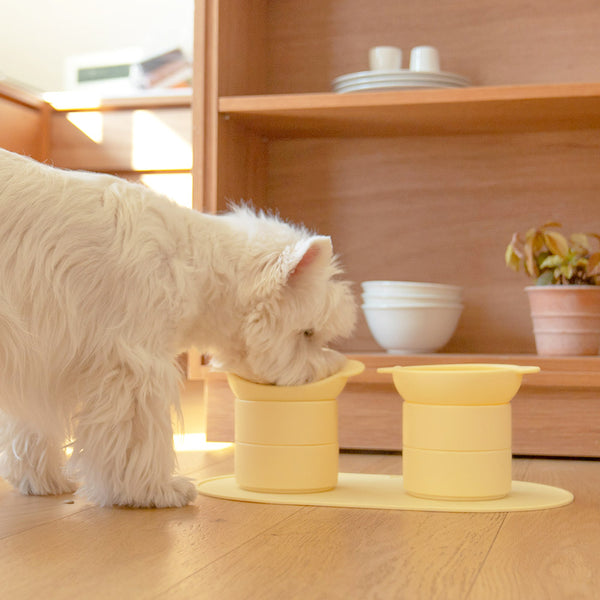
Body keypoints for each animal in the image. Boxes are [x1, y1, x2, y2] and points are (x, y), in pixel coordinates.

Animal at [0, 149, 356, 506]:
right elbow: (138, 434)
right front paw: (153, 491)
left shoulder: (39, 360)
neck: (192, 259)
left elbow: (31, 425)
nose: (328, 371)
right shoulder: (132, 363)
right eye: (308, 333)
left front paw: (39, 479)